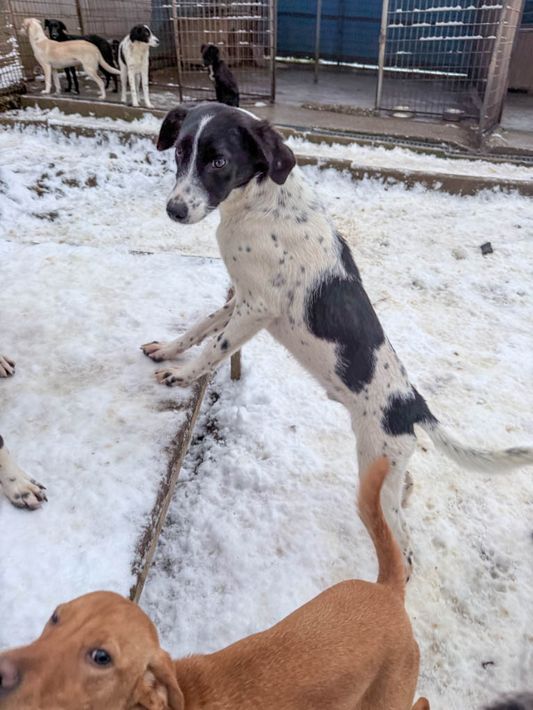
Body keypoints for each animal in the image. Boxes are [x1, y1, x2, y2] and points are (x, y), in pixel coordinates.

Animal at [142, 103, 533, 563]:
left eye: (218, 161)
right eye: (180, 152)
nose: (174, 209)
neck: (261, 203)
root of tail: (413, 404)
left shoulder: (256, 309)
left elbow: (214, 350)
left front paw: (180, 375)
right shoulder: (238, 300)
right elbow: (200, 328)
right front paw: (169, 351)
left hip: (377, 459)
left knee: (405, 545)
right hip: (387, 468)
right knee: (406, 490)